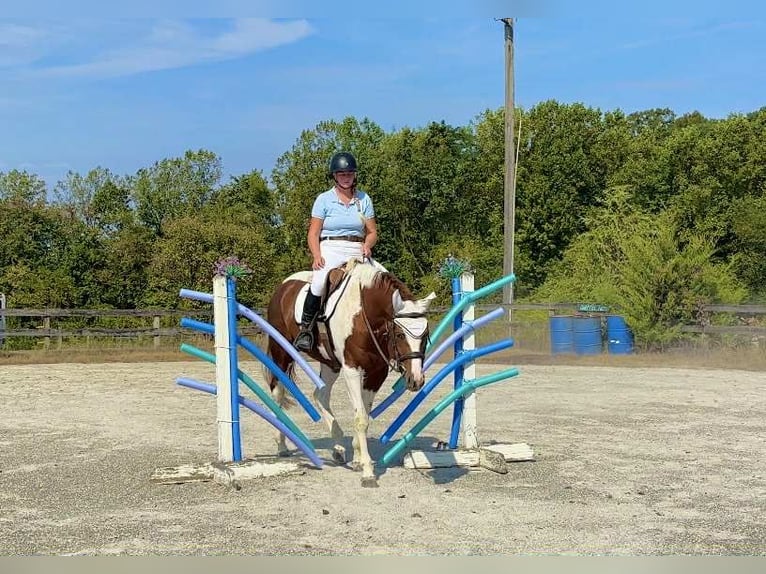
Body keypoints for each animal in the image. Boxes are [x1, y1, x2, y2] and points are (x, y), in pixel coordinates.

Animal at [265, 259, 436, 487]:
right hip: (281, 353)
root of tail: (284, 285)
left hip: (330, 364)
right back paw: (282, 446)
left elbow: (364, 415)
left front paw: (357, 458)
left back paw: (338, 447)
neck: (364, 315)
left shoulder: (376, 373)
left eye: (425, 335)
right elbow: (361, 418)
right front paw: (368, 472)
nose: (416, 380)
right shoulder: (352, 370)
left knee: (320, 395)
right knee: (278, 393)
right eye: (400, 334)